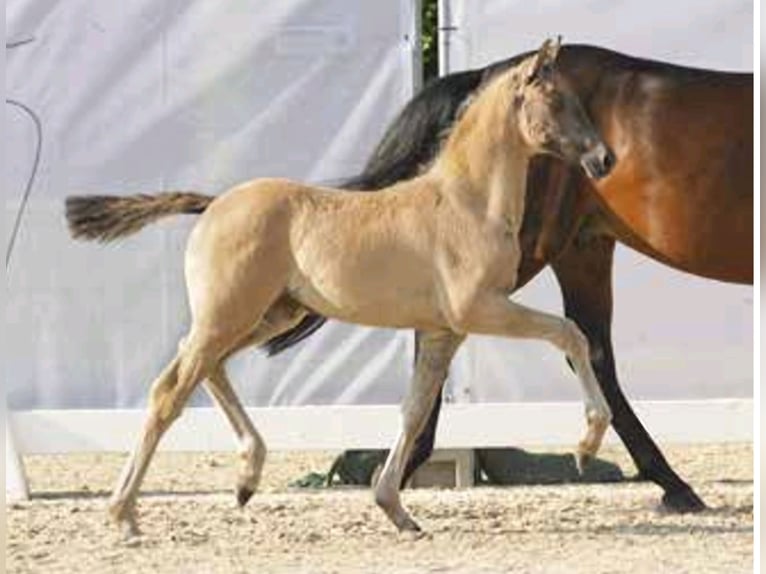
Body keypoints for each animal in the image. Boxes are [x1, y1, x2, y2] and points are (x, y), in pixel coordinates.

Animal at [66, 41, 616, 540]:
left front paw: (396, 510)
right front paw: (587, 442)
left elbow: (414, 410)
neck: (468, 203)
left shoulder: (444, 331)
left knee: (208, 370)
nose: (604, 159)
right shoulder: (479, 310)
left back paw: (246, 479)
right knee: (170, 390)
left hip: (269, 315)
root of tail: (214, 203)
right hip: (228, 315)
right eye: (557, 98)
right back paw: (125, 515)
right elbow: (570, 334)